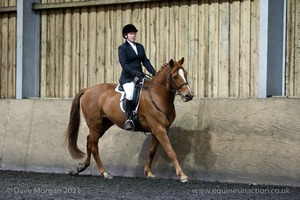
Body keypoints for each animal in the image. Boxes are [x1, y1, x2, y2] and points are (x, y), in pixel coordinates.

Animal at [64, 57, 193, 182]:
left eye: (186, 74)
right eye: (175, 76)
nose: (189, 95)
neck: (158, 96)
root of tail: (88, 89)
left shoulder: (161, 130)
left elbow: (152, 151)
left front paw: (148, 172)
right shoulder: (159, 129)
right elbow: (171, 151)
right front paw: (183, 176)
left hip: (103, 124)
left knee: (89, 140)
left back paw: (81, 167)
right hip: (95, 125)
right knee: (94, 147)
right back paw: (104, 173)